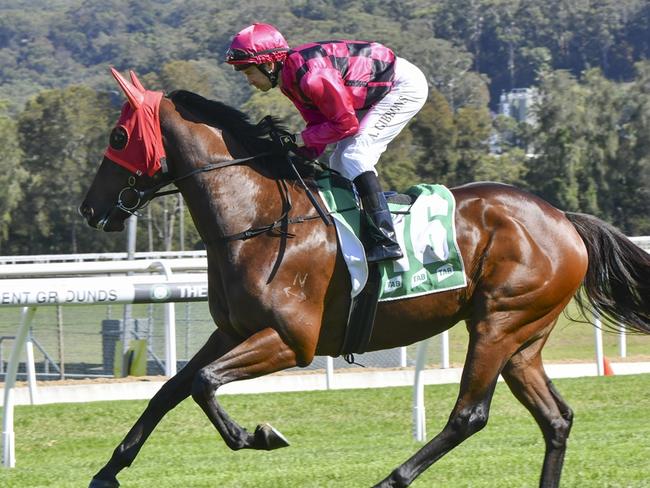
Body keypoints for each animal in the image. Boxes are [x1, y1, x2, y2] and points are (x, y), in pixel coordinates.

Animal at [78, 69, 644, 488]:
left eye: (118, 136)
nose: (89, 209)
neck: (260, 217)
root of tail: (563, 218)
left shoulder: (291, 341)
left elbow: (203, 382)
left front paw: (259, 435)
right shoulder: (232, 330)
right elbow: (172, 387)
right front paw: (107, 472)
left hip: (498, 324)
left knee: (469, 415)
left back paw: (390, 480)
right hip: (524, 339)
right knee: (556, 418)